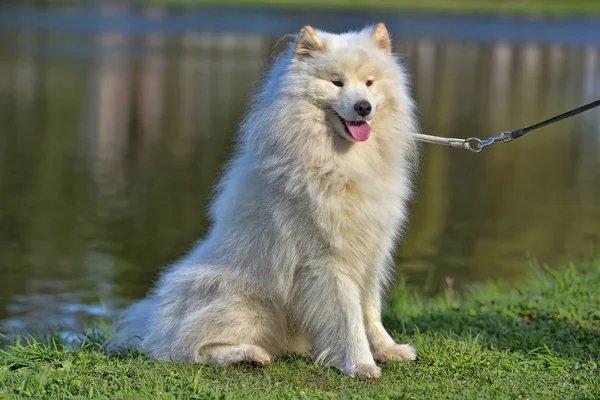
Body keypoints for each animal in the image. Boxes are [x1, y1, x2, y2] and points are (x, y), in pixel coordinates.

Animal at [115, 22, 420, 382]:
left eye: (370, 83)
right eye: (337, 83)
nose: (363, 107)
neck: (343, 163)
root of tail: (153, 321)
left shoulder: (371, 252)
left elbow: (370, 310)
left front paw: (388, 349)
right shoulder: (329, 260)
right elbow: (349, 317)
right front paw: (361, 364)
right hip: (249, 305)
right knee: (187, 347)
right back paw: (249, 355)